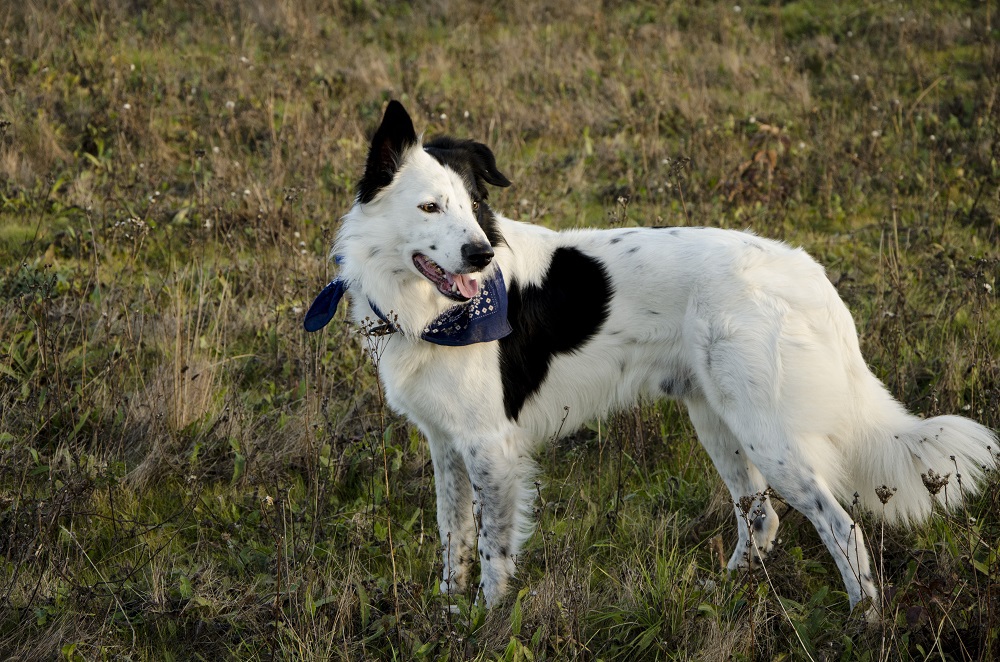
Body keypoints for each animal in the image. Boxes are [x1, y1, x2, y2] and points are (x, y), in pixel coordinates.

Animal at [304, 101, 992, 620]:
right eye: (430, 208)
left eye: (475, 209)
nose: (479, 255)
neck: (429, 310)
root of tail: (809, 273)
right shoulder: (448, 445)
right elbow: (456, 541)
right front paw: (449, 614)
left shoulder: (491, 448)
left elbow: (494, 552)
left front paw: (485, 626)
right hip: (718, 420)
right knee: (762, 516)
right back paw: (729, 590)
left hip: (769, 431)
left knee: (838, 524)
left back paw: (864, 620)